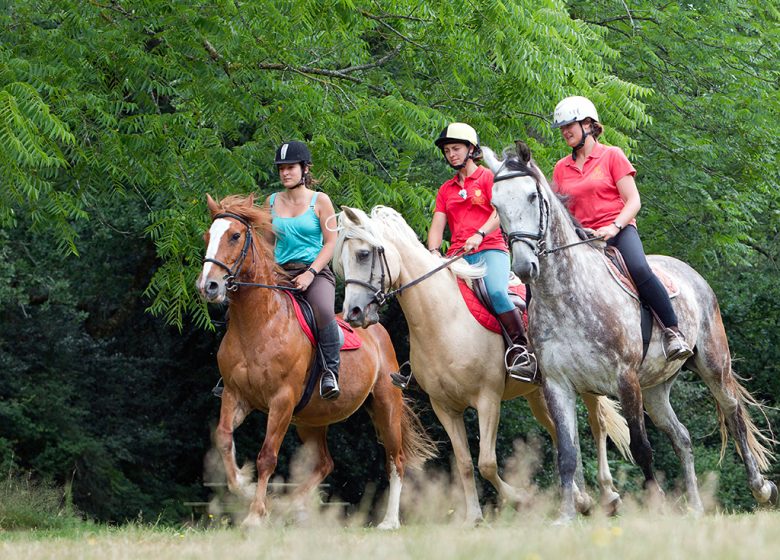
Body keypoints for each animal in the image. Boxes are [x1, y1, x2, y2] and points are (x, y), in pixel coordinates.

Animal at [197, 195, 438, 528]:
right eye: (208, 236)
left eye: (234, 236)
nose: (208, 286)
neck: (258, 324)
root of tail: (374, 325)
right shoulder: (236, 395)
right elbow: (222, 438)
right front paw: (244, 486)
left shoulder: (281, 401)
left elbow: (267, 456)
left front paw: (255, 515)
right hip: (311, 420)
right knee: (325, 463)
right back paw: (290, 506)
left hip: (386, 405)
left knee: (395, 460)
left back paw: (389, 522)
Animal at [332, 206, 632, 524]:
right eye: (342, 261)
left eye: (363, 254)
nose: (353, 313)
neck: (444, 318)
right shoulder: (444, 407)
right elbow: (464, 463)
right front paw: (473, 517)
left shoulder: (487, 400)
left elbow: (487, 463)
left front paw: (522, 498)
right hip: (538, 393)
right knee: (559, 433)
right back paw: (581, 500)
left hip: (583, 382)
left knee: (598, 426)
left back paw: (608, 496)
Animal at [484, 143, 776, 520]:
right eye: (495, 204)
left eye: (533, 196)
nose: (523, 266)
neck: (568, 296)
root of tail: (691, 273)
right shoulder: (557, 385)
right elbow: (567, 453)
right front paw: (567, 515)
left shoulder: (625, 380)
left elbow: (641, 447)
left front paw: (653, 505)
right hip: (656, 388)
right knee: (682, 436)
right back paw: (695, 507)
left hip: (713, 365)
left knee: (733, 413)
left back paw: (761, 489)